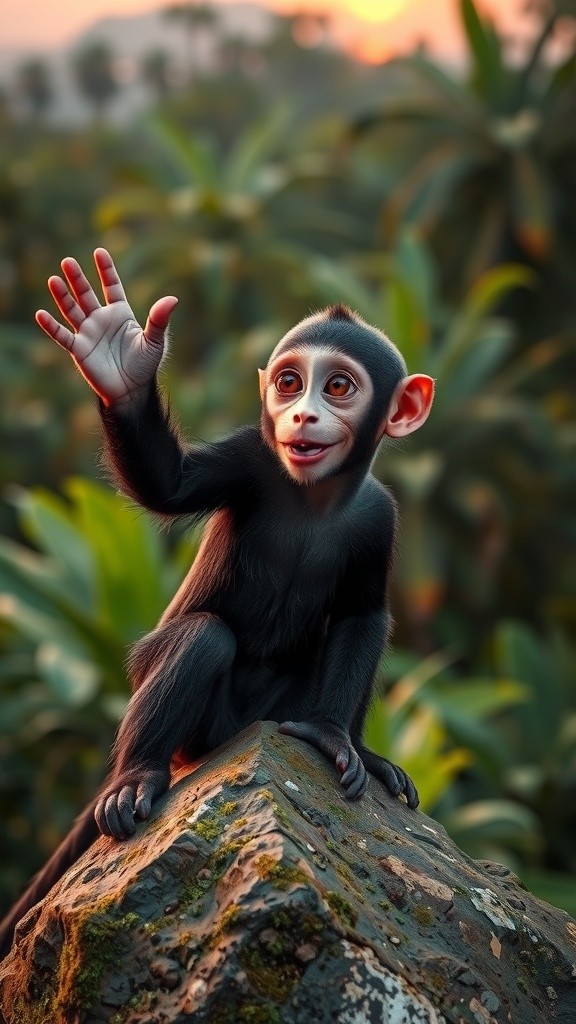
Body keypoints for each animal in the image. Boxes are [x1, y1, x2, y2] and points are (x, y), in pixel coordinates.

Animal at [0, 249, 434, 957]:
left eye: (338, 387)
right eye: (290, 382)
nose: (301, 416)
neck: (313, 497)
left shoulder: (380, 516)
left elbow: (363, 615)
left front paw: (335, 738)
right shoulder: (252, 460)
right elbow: (168, 485)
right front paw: (116, 360)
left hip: (272, 713)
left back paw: (360, 751)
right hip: (199, 729)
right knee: (203, 637)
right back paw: (135, 778)